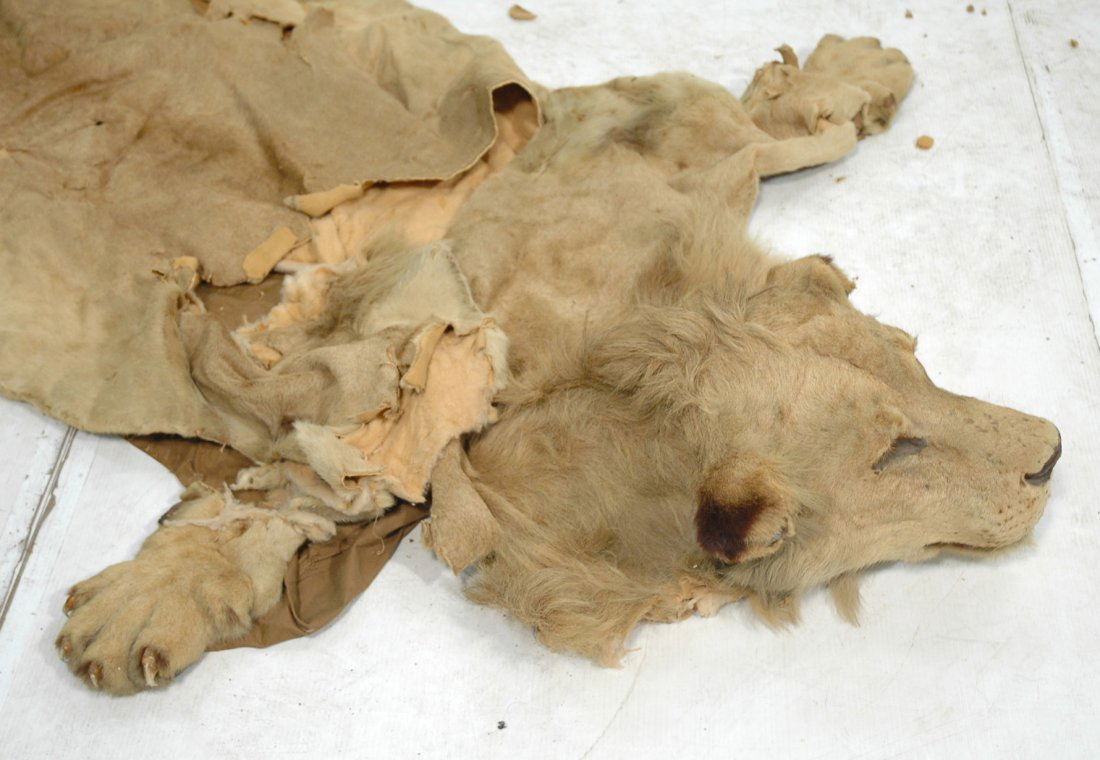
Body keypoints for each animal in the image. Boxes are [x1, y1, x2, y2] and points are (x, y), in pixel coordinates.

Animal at [54, 37, 1060, 693]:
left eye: (919, 367)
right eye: (897, 454)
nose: (1054, 453)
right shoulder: (391, 379)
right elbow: (296, 483)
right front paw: (151, 597)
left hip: (729, 153)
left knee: (787, 123)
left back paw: (861, 69)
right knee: (773, 121)